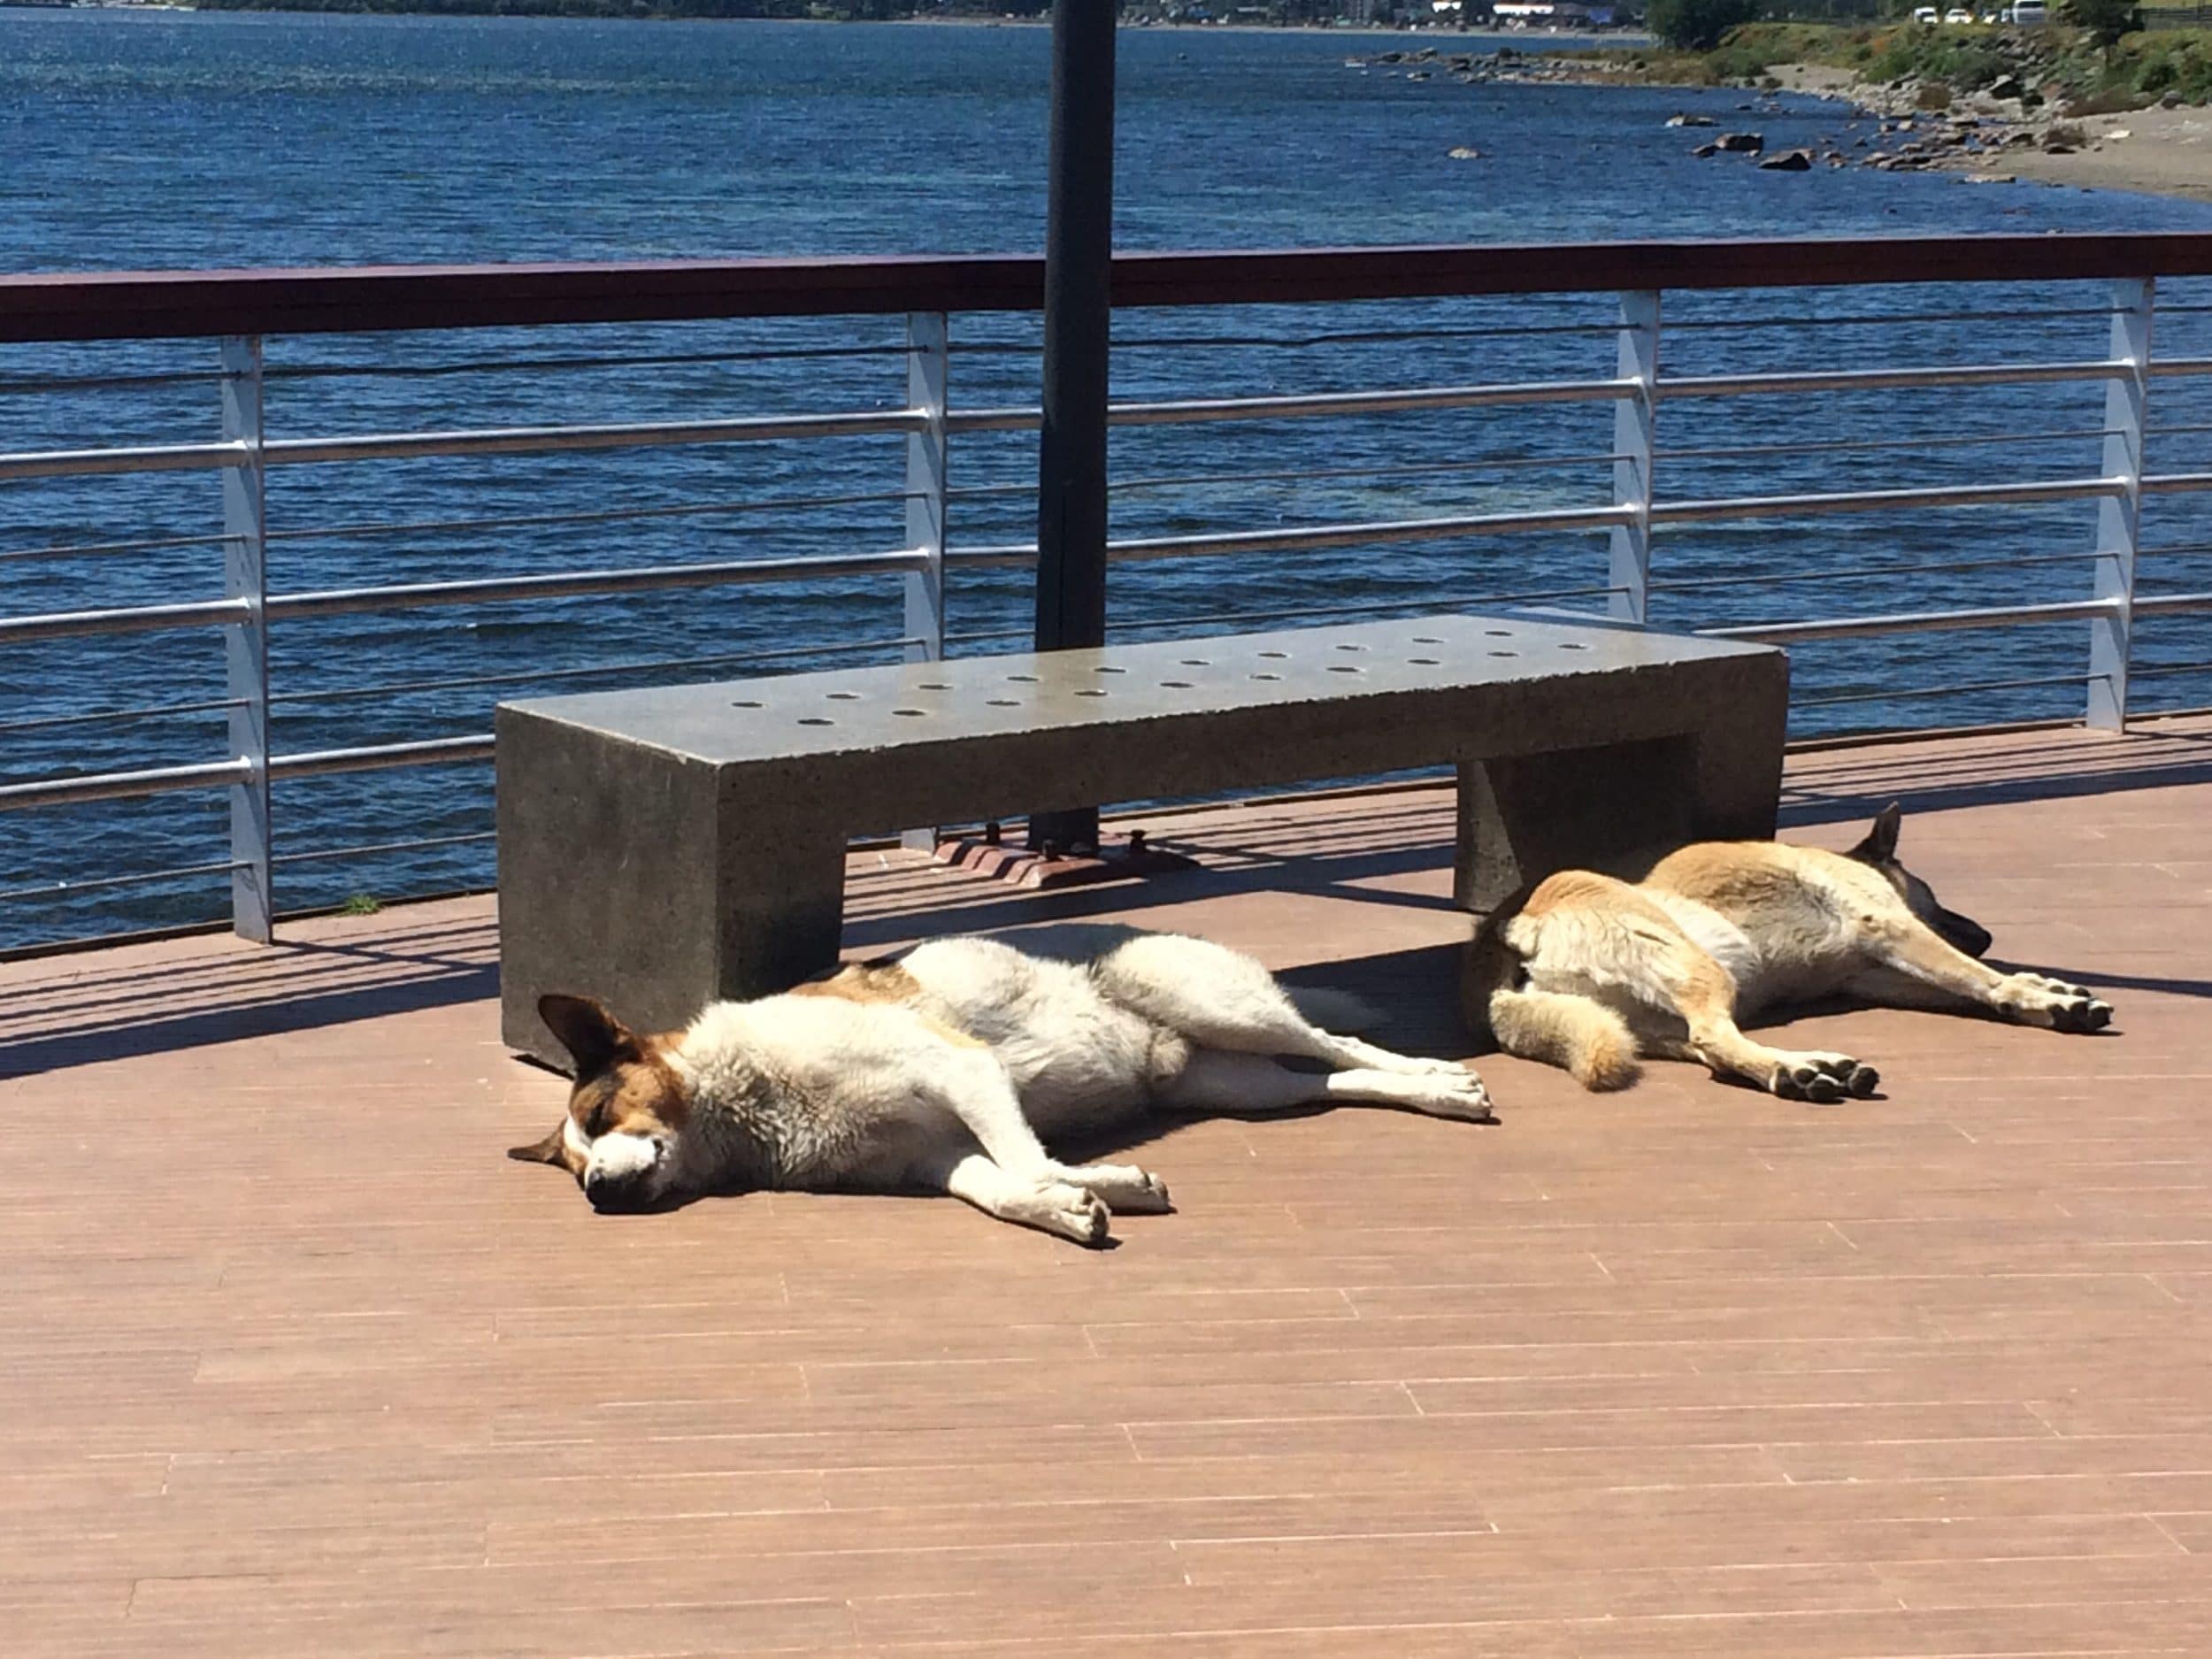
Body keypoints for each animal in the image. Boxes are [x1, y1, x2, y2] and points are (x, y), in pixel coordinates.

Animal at [510, 927, 1494, 1243]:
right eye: (574, 1167)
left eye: (602, 1110)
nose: (597, 1195)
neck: (746, 1099)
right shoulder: (936, 1156)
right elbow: (1000, 1186)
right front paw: (1086, 1198)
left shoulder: (959, 1068)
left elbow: (1026, 1156)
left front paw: (1087, 1186)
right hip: (1233, 1083)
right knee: (1327, 1078)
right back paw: (1426, 1095)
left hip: (1206, 999)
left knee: (1342, 1039)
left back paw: (1444, 1080)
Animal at [1462, 804, 2114, 1103]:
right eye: (1932, 892)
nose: (1985, 934)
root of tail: (1513, 931)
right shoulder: (1890, 925)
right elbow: (1974, 975)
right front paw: (2032, 993)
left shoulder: (1871, 973)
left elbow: (1964, 984)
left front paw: (2046, 991)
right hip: (1695, 963)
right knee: (1713, 1037)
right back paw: (1794, 1072)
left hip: (1649, 1015)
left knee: (1713, 1050)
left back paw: (1813, 1065)